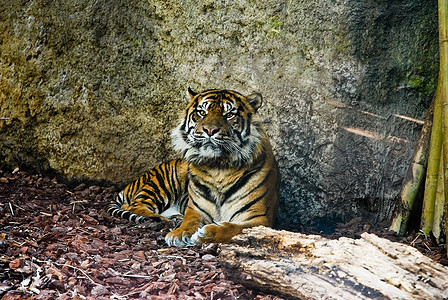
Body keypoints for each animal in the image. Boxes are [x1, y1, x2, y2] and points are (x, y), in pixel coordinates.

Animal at [106, 87, 278, 246]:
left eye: (229, 115)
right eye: (202, 112)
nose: (210, 130)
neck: (219, 169)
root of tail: (132, 184)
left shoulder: (259, 219)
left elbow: (234, 228)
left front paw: (206, 233)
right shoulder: (196, 210)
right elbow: (189, 222)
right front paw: (178, 234)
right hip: (161, 185)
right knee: (133, 205)